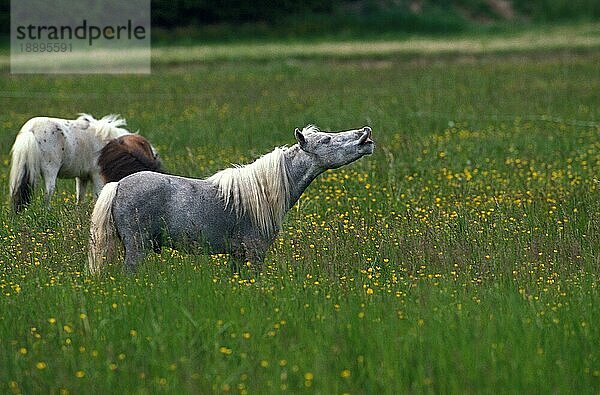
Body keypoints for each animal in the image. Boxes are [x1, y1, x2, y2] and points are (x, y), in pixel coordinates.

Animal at [88, 125, 376, 274]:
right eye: (327, 139)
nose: (365, 134)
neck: (262, 193)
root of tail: (118, 185)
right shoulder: (255, 252)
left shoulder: (237, 255)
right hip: (137, 247)